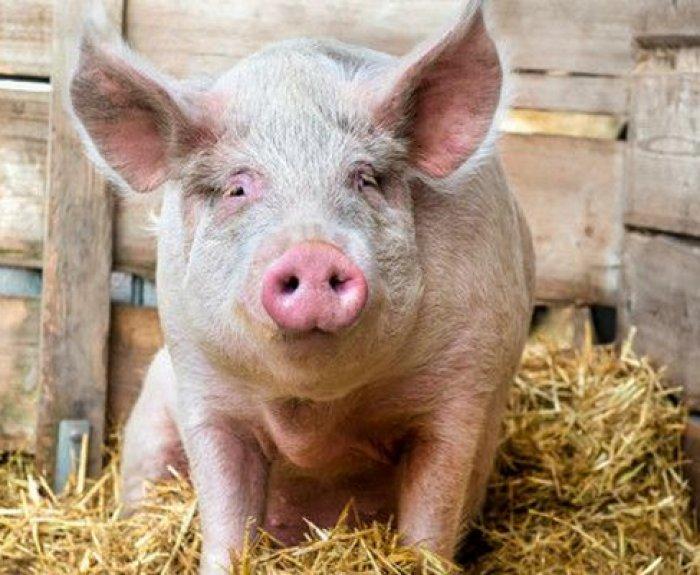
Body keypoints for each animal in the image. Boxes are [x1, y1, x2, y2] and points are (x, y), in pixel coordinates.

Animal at [69, 1, 534, 572]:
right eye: (238, 188)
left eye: (364, 179)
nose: (313, 251)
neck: (315, 412)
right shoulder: (202, 382)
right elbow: (224, 511)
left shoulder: (463, 386)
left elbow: (433, 508)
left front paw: (417, 557)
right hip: (152, 407)